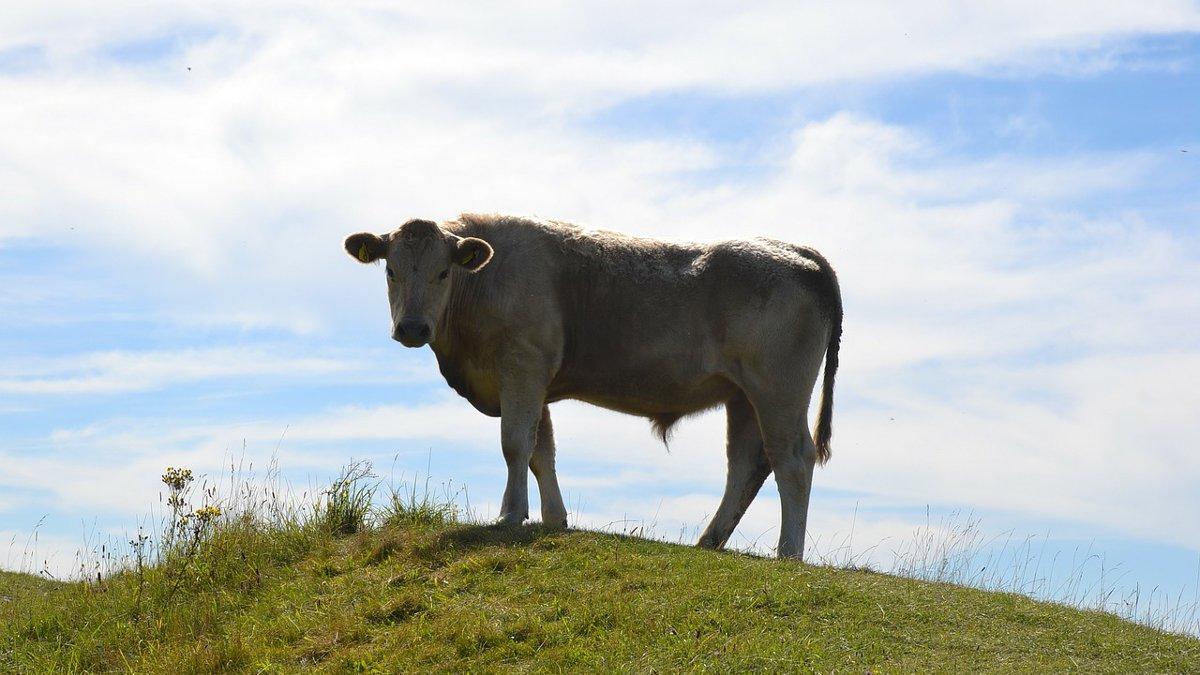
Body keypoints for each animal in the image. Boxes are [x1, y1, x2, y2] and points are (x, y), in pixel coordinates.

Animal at [343, 213, 840, 557]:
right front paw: (553, 519)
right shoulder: (532, 381)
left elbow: (515, 444)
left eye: (443, 273)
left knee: (792, 459)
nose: (412, 327)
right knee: (746, 465)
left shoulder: (522, 365)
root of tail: (797, 250)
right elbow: (541, 451)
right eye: (391, 271)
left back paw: (788, 553)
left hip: (778, 390)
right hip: (742, 396)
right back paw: (709, 541)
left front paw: (510, 515)